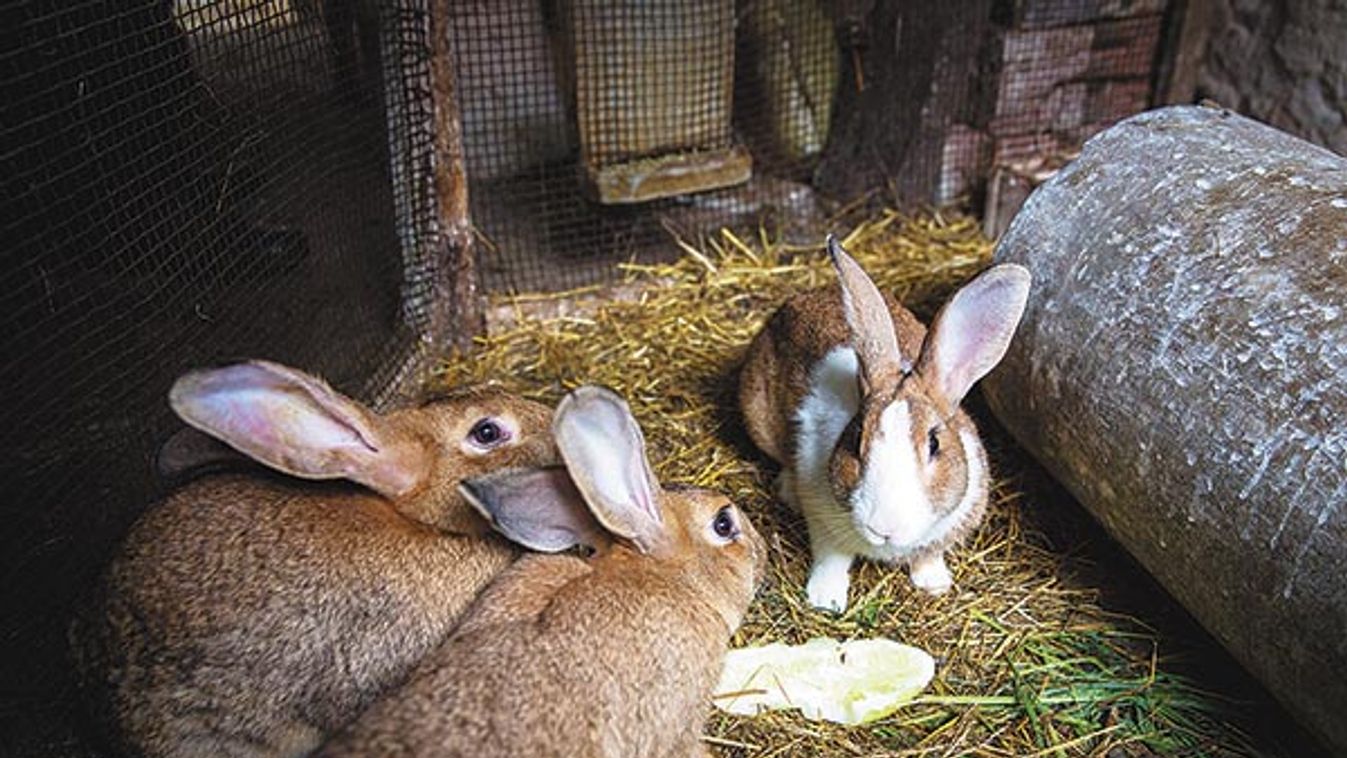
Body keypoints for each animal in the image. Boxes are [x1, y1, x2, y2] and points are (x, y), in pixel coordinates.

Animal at [743, 236, 1023, 611]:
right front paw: (825, 599)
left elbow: (928, 555)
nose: (883, 527)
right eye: (855, 439)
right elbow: (832, 557)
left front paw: (935, 583)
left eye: (934, 444)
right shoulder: (822, 516)